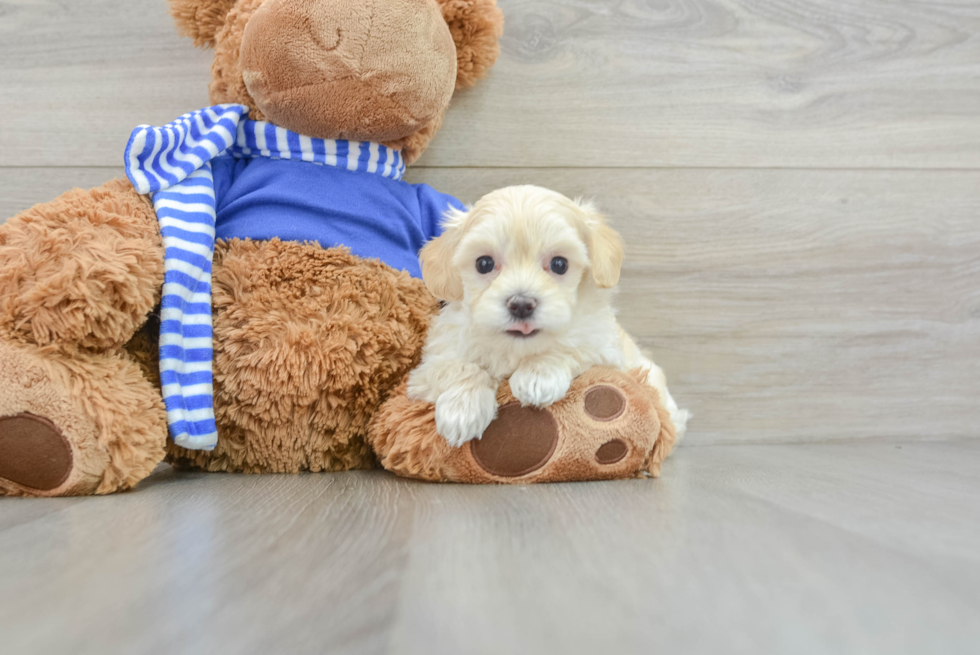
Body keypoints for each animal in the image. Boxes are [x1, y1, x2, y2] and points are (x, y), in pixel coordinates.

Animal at [406, 187, 688, 448]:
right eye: (484, 263)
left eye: (559, 264)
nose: (521, 305)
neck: (517, 348)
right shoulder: (431, 364)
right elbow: (458, 367)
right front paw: (463, 409)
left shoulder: (605, 349)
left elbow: (571, 348)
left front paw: (537, 376)